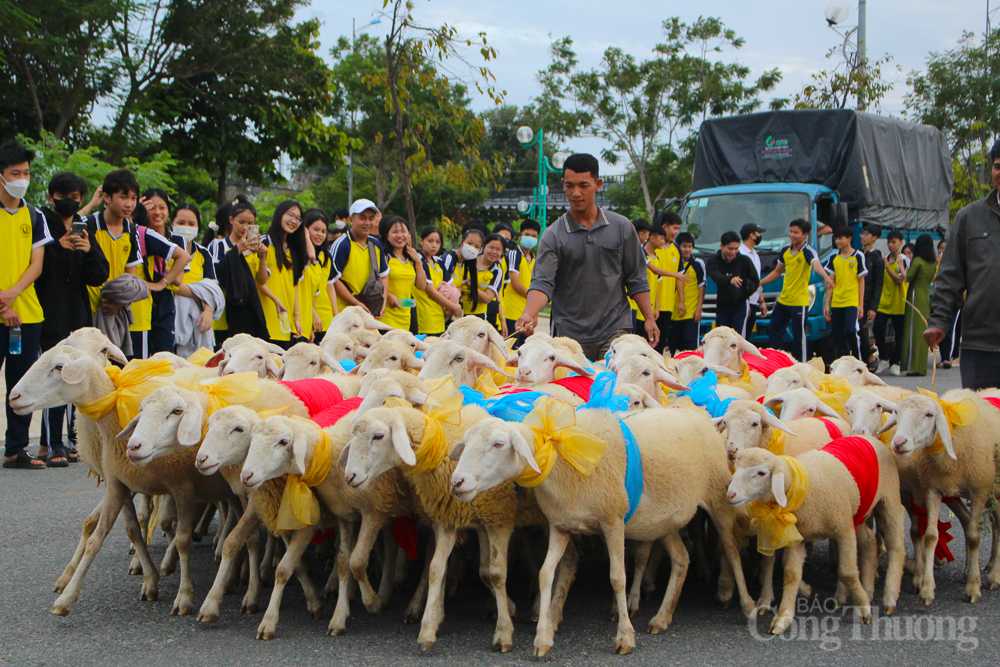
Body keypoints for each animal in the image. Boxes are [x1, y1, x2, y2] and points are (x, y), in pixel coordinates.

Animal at [9, 348, 233, 620]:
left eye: (59, 367)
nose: (13, 397)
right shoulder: (119, 483)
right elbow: (113, 533)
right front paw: (67, 596)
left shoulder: (181, 486)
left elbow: (180, 538)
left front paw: (183, 594)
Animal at [239, 414, 410, 640]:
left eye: (283, 442)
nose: (246, 476)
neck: (329, 456)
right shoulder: (344, 513)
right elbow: (342, 561)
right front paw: (338, 616)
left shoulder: (372, 511)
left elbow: (357, 562)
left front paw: (372, 603)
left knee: (395, 548)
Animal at [450, 402, 752, 656]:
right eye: (465, 443)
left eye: (498, 443)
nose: (457, 482)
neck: (557, 454)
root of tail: (700, 415)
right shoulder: (560, 524)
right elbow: (546, 574)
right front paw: (543, 638)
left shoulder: (613, 521)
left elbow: (617, 577)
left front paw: (625, 637)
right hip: (665, 520)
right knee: (681, 558)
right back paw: (662, 618)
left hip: (719, 500)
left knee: (731, 551)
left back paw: (747, 605)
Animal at [728, 438, 908, 636]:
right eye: (736, 467)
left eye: (761, 473)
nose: (730, 495)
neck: (803, 487)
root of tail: (869, 438)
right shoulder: (798, 537)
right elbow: (791, 574)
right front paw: (782, 618)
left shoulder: (844, 530)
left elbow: (847, 572)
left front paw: (863, 609)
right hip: (857, 514)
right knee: (869, 543)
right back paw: (868, 591)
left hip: (889, 499)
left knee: (896, 546)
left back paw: (889, 597)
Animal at [880, 392, 1000, 604]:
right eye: (896, 412)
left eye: (929, 415)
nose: (899, 443)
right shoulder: (933, 490)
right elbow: (931, 536)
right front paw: (927, 589)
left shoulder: (979, 491)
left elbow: (974, 537)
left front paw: (973, 587)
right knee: (977, 521)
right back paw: (977, 569)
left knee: (997, 525)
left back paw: (993, 575)